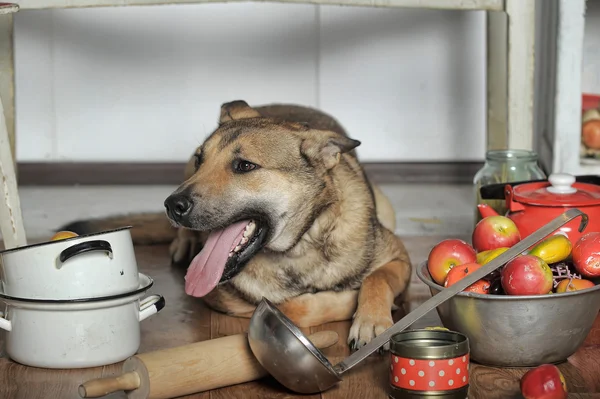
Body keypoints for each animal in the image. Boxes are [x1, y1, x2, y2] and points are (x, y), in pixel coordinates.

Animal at [59, 101, 412, 350]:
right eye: (201, 160)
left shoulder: (400, 258)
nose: (172, 205)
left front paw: (372, 322)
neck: (300, 247)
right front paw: (344, 302)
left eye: (244, 166)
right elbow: (296, 307)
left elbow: (377, 278)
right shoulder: (225, 298)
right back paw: (183, 242)